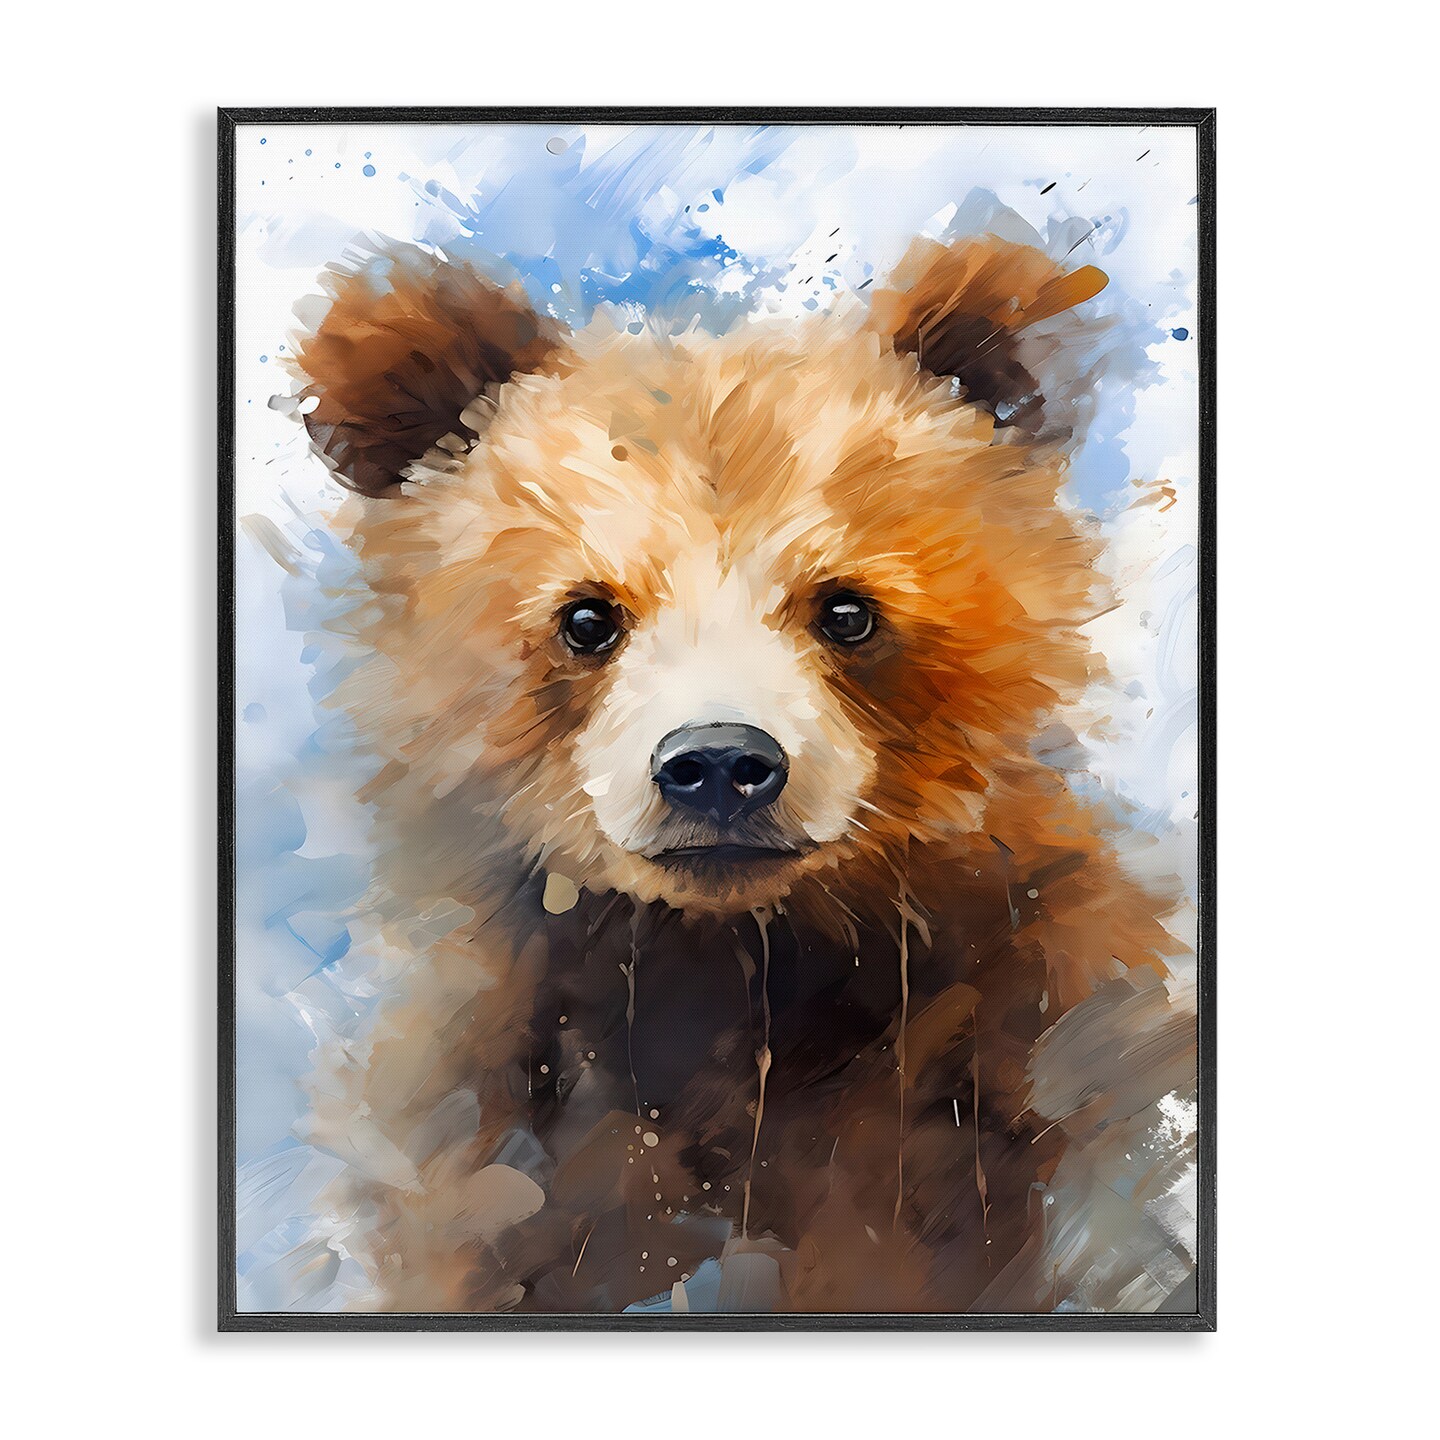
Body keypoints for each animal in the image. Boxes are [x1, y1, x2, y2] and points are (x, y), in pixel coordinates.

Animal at [285, 231, 1198, 1315]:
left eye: (847, 609)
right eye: (587, 616)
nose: (719, 763)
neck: (741, 967)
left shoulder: (988, 1077)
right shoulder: (506, 1111)